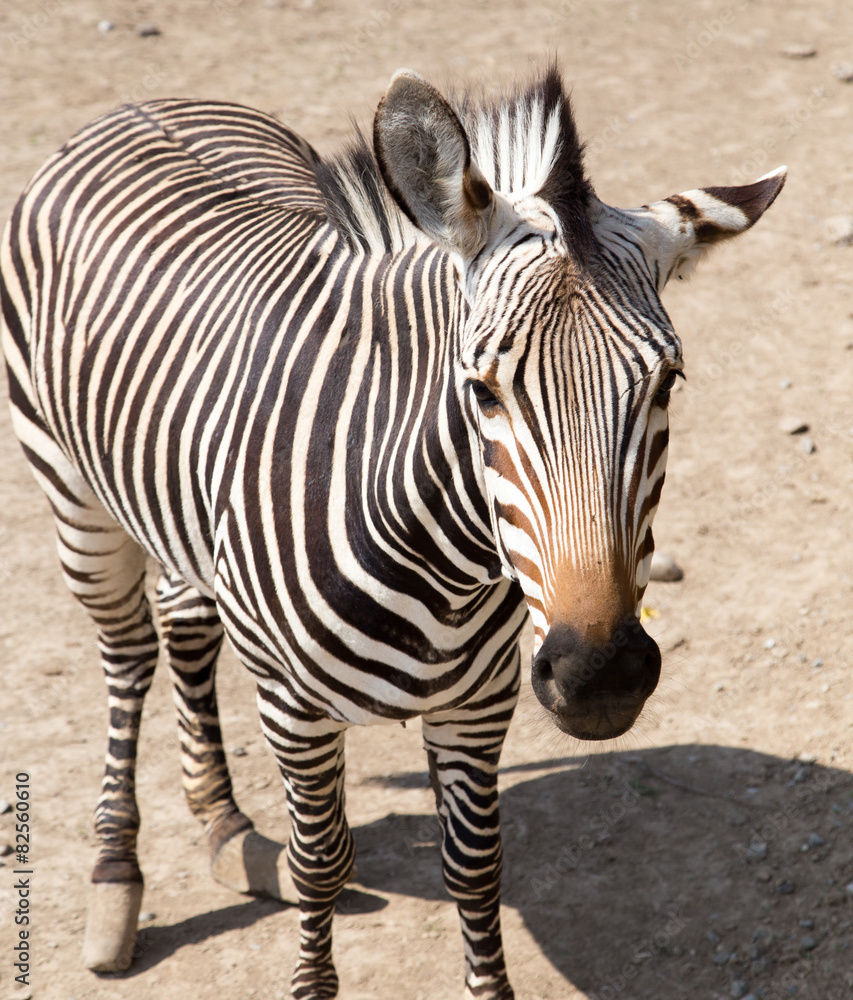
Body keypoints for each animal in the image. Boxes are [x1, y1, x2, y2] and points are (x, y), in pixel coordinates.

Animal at [1, 64, 784, 1000]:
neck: (442, 569)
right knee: (127, 654)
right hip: (73, 497)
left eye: (667, 382)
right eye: (481, 391)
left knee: (183, 621)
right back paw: (116, 877)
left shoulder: (480, 704)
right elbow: (322, 863)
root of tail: (143, 106)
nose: (599, 678)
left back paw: (225, 824)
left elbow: (475, 869)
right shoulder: (292, 708)